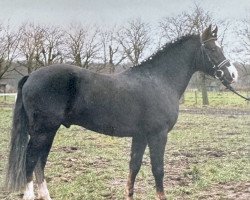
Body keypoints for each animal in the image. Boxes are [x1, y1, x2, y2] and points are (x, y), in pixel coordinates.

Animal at [4, 25, 237, 200]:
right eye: (213, 49)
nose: (232, 74)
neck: (159, 80)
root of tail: (31, 75)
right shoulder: (157, 135)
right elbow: (158, 168)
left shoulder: (141, 136)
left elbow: (134, 166)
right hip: (43, 130)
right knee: (30, 160)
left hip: (48, 131)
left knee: (40, 162)